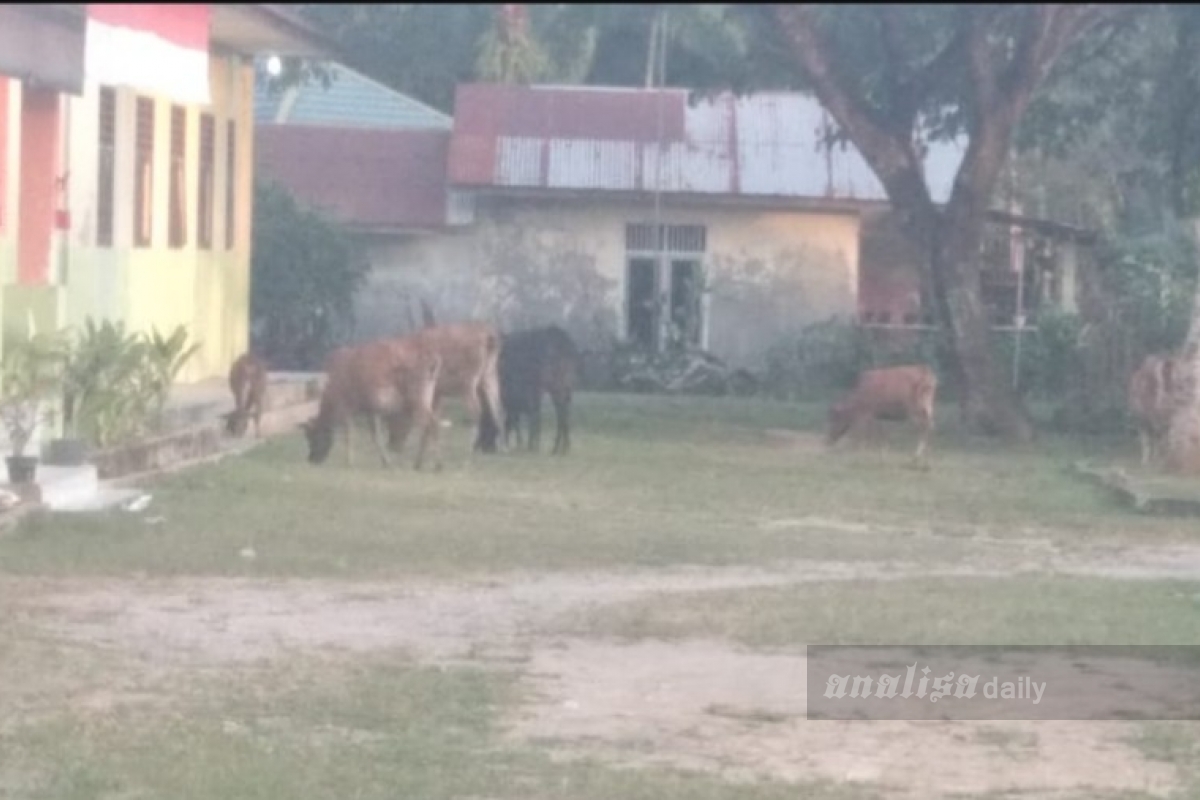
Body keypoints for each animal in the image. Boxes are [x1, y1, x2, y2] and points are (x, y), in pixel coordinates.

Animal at [302, 335, 444, 472]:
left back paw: (436, 465)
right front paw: (386, 462)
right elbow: (375, 435)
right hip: (427, 398)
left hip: (418, 399)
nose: (311, 459)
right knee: (432, 424)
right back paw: (420, 464)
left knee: (432, 423)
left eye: (312, 435)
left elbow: (349, 434)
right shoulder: (371, 409)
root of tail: (433, 362)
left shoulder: (346, 406)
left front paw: (349, 462)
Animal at [386, 321, 504, 455]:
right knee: (498, 408)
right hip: (490, 374)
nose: (391, 446)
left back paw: (471, 447)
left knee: (477, 410)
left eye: (392, 419)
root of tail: (490, 338)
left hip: (468, 381)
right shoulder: (438, 392)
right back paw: (502, 446)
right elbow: (435, 416)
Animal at [472, 321, 576, 453]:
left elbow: (517, 420)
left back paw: (552, 447)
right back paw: (561, 447)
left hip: (552, 388)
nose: (484, 447)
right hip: (564, 388)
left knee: (557, 414)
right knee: (563, 414)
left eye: (484, 424)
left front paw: (522, 444)